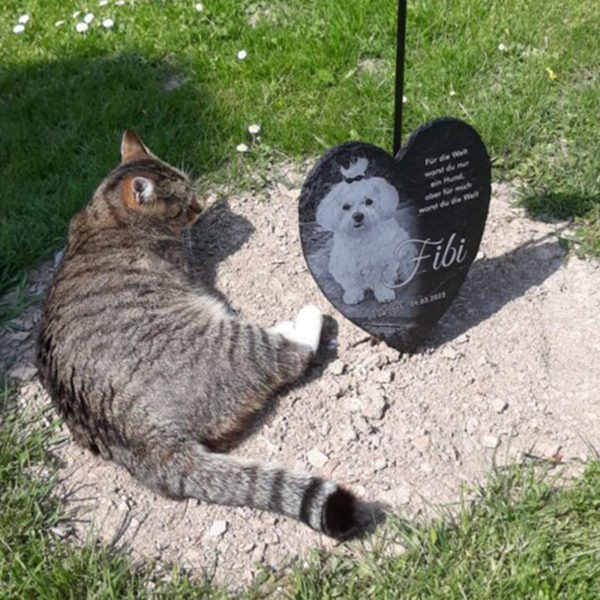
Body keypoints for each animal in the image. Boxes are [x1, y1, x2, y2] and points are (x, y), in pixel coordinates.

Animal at [37, 131, 358, 536]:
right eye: (184, 201)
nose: (201, 205)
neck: (105, 214)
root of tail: (149, 441)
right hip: (228, 341)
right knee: (286, 354)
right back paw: (303, 319)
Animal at [316, 158, 414, 304]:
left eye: (369, 201)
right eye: (345, 207)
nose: (358, 215)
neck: (361, 235)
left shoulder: (384, 261)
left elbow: (382, 279)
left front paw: (384, 293)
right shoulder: (344, 265)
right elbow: (352, 283)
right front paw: (353, 295)